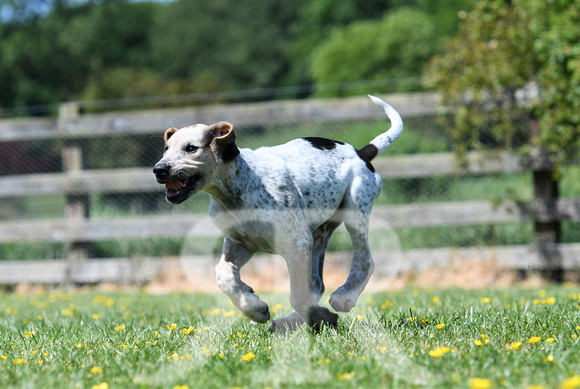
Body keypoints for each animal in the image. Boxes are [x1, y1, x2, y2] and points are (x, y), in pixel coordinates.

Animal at [152, 95, 402, 332]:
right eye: (166, 149)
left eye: (191, 148)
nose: (158, 170)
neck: (235, 193)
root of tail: (361, 153)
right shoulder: (239, 244)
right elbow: (223, 275)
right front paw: (254, 307)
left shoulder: (296, 244)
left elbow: (298, 295)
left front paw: (323, 317)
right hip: (318, 235)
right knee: (317, 284)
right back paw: (290, 321)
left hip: (354, 212)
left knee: (364, 262)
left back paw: (344, 296)